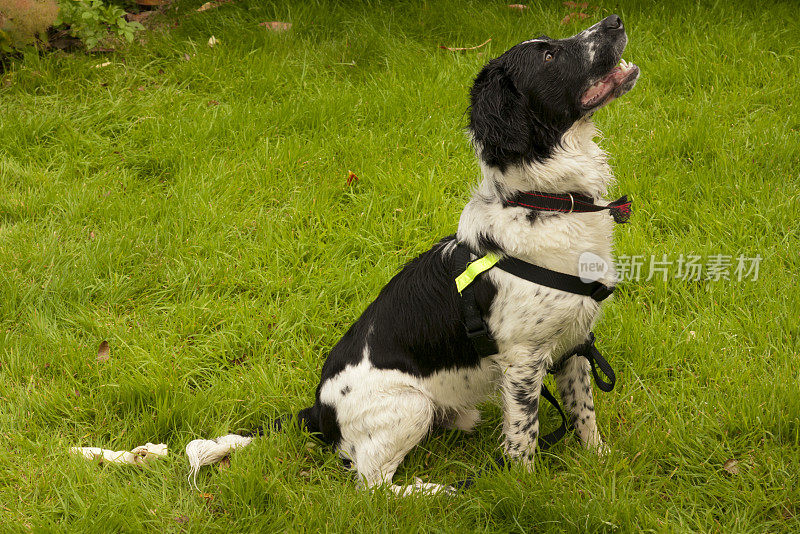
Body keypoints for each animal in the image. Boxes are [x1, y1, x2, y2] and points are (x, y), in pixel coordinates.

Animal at [188, 16, 636, 496]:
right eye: (549, 56)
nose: (614, 20)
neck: (546, 202)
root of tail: (317, 413)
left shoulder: (575, 342)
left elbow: (583, 412)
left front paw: (600, 462)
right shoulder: (523, 361)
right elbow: (523, 439)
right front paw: (525, 492)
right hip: (412, 404)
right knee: (373, 483)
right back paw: (436, 492)